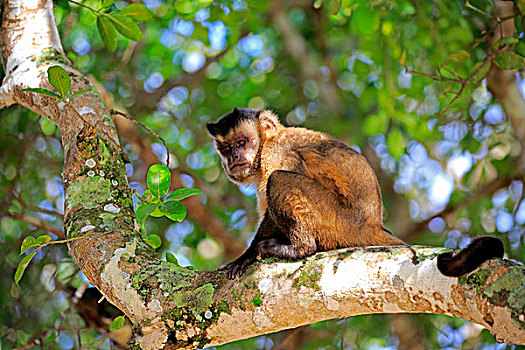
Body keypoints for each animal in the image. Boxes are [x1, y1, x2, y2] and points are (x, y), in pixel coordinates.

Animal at [206, 108, 504, 280]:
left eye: (242, 142)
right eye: (226, 148)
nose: (234, 158)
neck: (266, 143)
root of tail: (374, 224)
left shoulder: (275, 152)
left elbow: (274, 189)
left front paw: (246, 257)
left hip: (342, 223)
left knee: (280, 180)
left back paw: (300, 249)